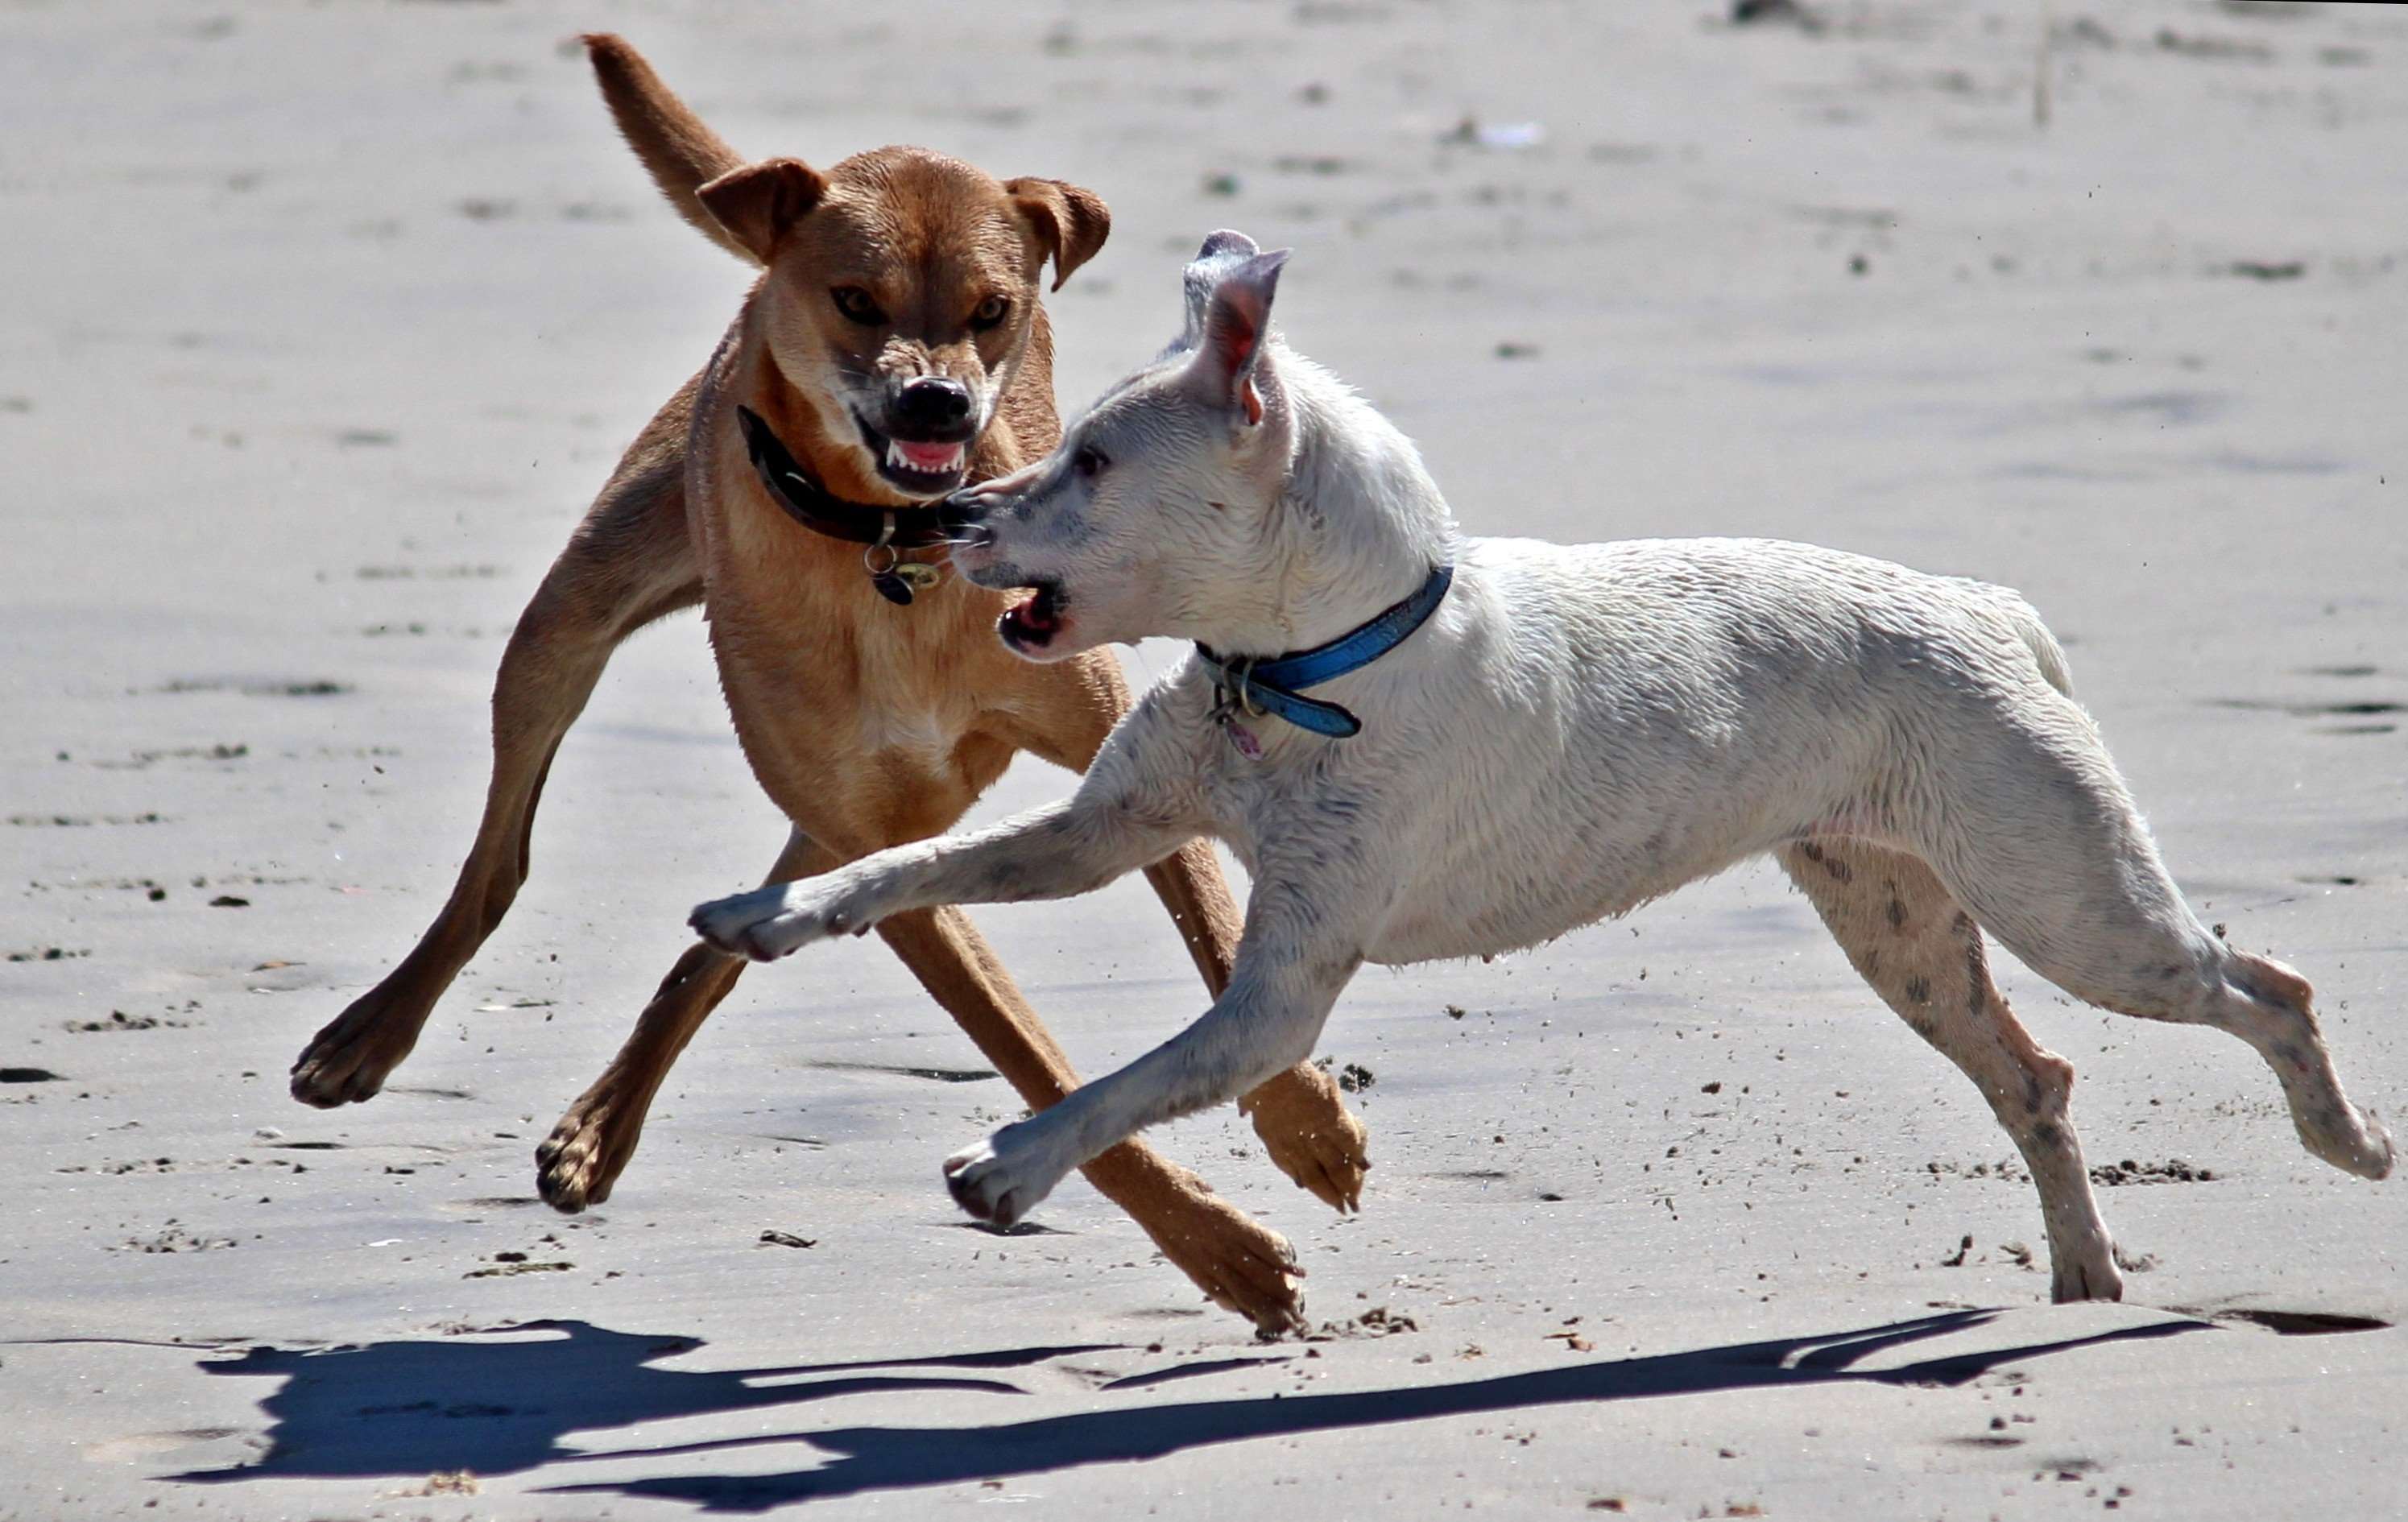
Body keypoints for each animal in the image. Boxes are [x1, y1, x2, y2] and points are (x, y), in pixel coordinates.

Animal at [281, 30, 1367, 1329]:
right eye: (855, 300)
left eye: (993, 310)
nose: (936, 399)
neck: (889, 552)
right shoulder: (884, 842)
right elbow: (1028, 1055)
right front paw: (1224, 1249)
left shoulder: (1092, 760)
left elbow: (1209, 923)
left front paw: (1304, 1123)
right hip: (574, 620)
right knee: (502, 857)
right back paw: (379, 1033)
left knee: (735, 916)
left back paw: (603, 1115)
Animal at [693, 232, 2389, 1300]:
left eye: (1093, 462)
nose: (945, 519)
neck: (1308, 669)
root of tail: (1988, 606)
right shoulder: (1105, 833)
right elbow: (905, 864)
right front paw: (768, 916)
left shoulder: (1276, 1001)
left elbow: (1127, 1086)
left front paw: (1012, 1168)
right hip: (1903, 929)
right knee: (2038, 1077)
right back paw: (2086, 1273)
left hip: (2074, 905)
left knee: (2266, 987)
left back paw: (2346, 1142)